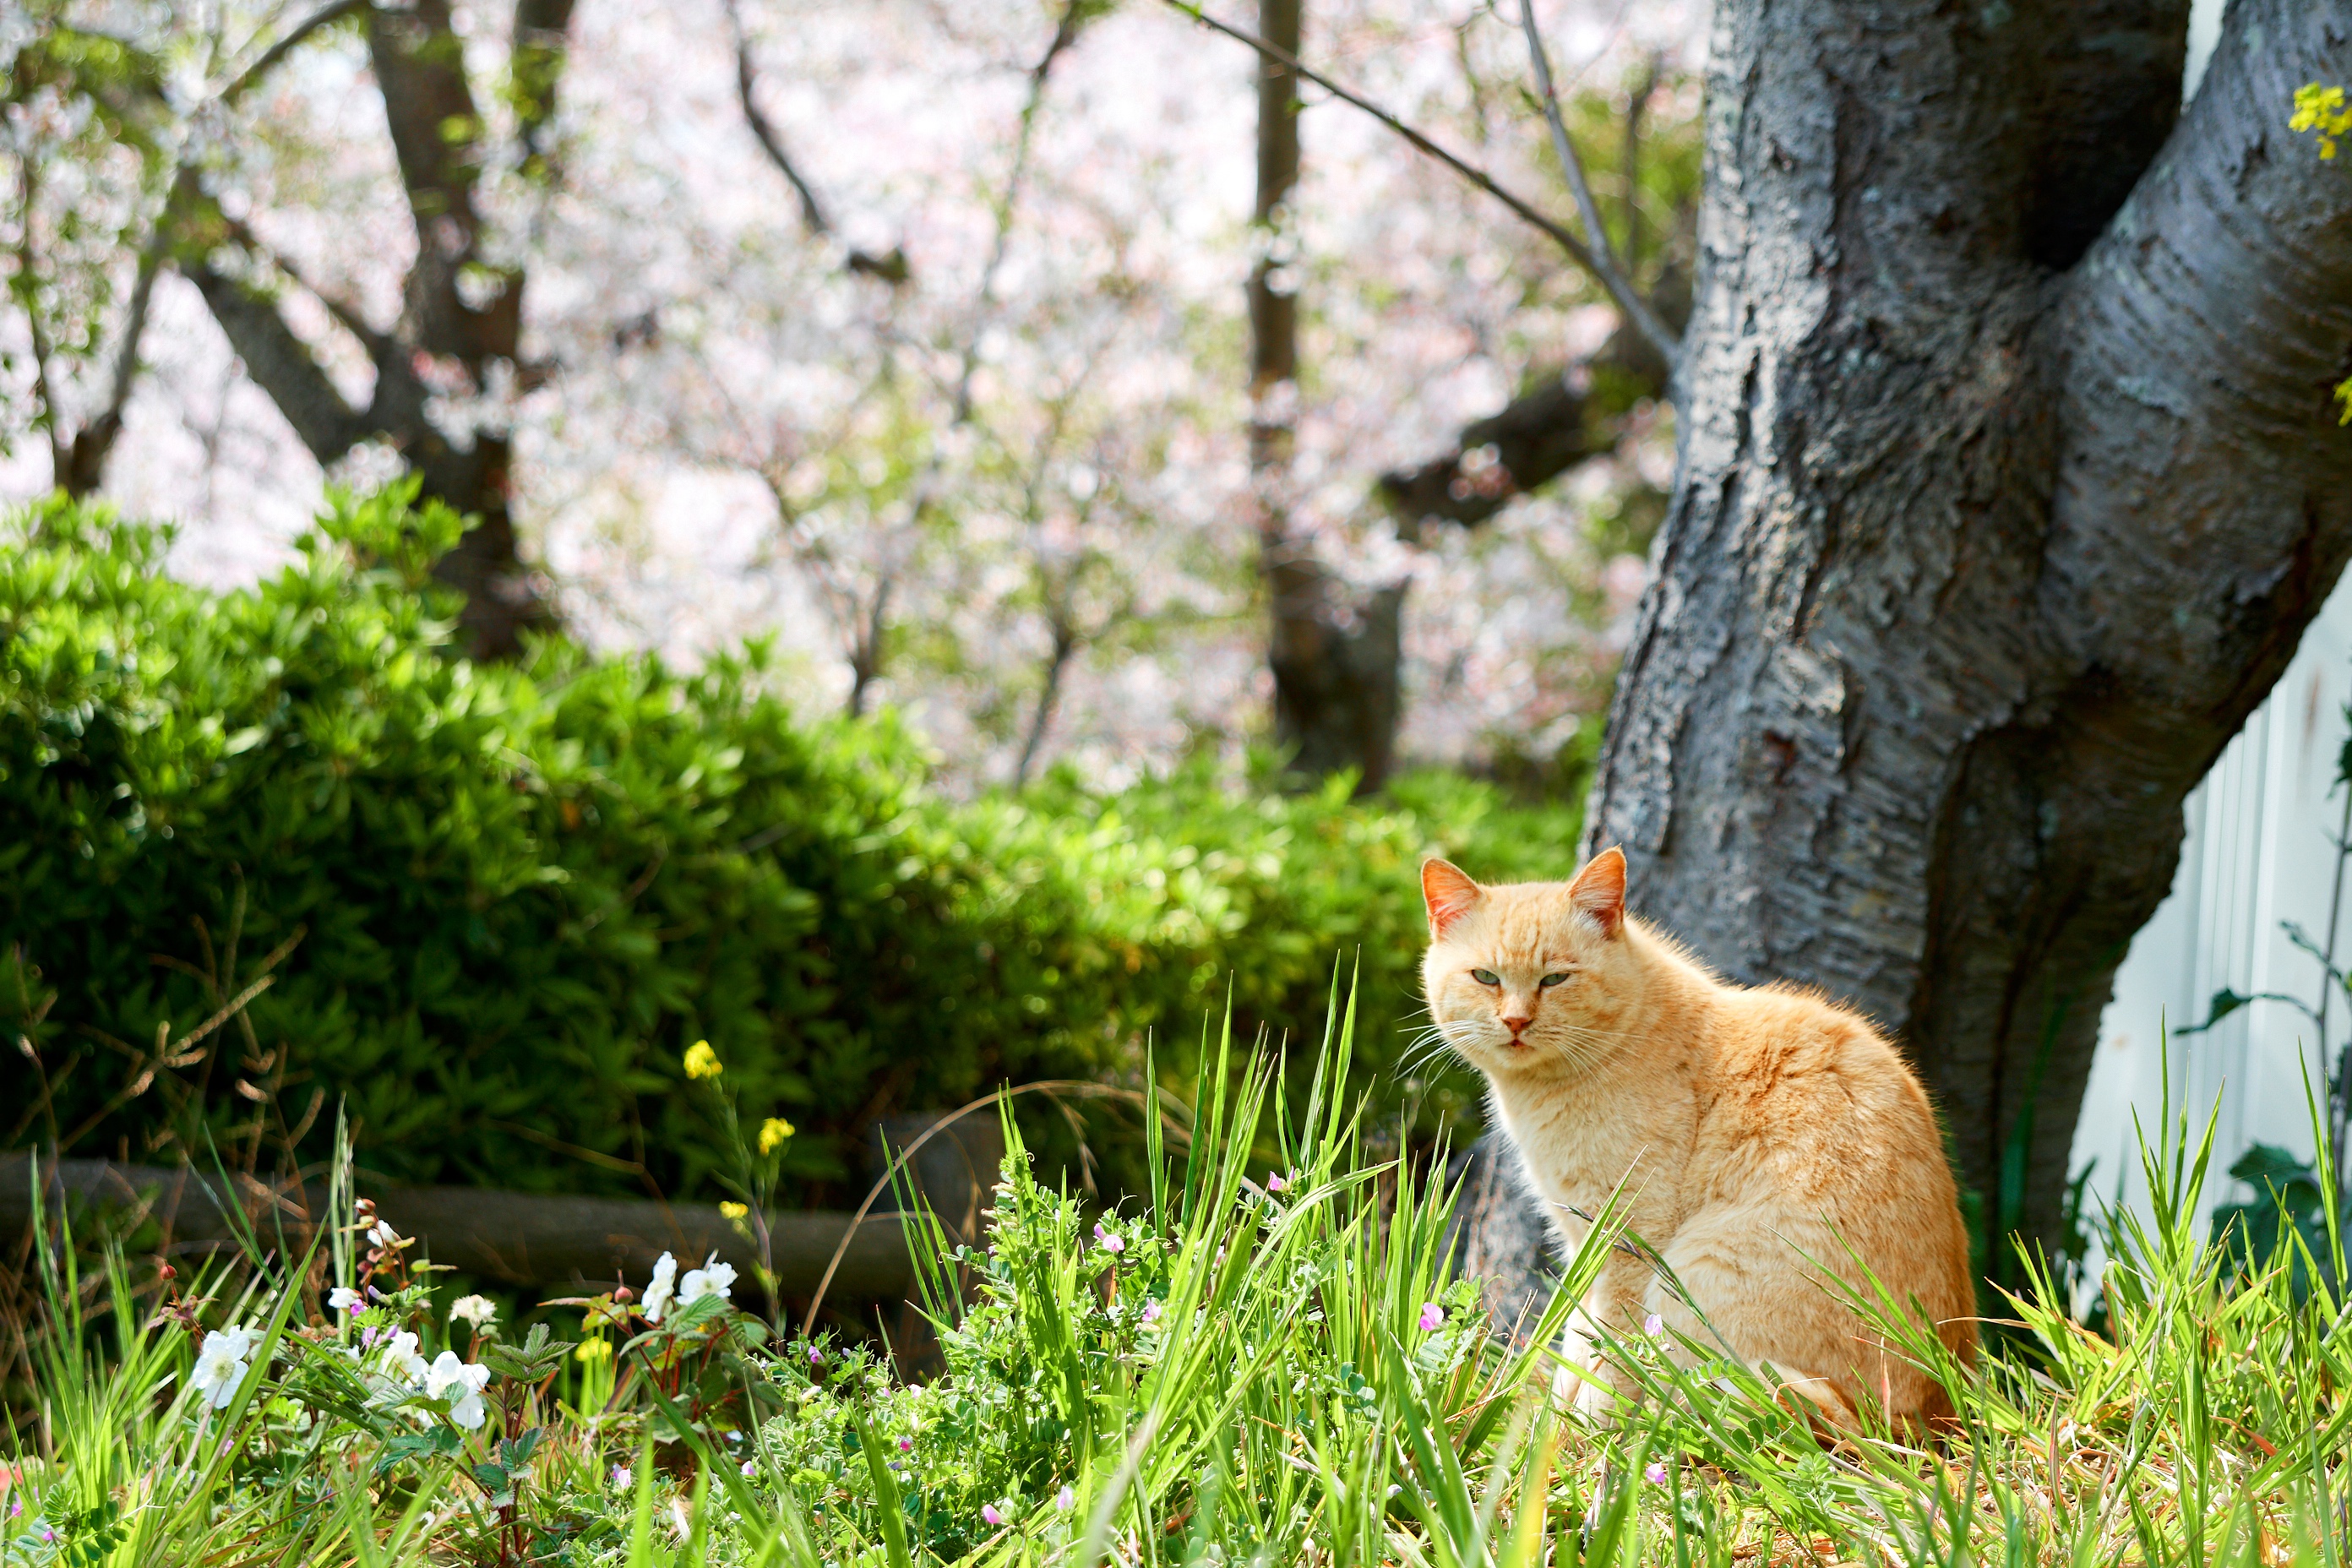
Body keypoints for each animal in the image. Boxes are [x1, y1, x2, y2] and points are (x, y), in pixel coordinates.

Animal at [1420, 851, 1975, 1429]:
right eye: (1486, 977)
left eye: (1555, 979)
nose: (1516, 1020)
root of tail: (1930, 1421)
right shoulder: (1581, 1242)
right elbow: (1576, 1344)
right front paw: (1550, 1430)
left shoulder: (1628, 1242)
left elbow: (1610, 1360)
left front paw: (1592, 1432)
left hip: (1695, 1284)